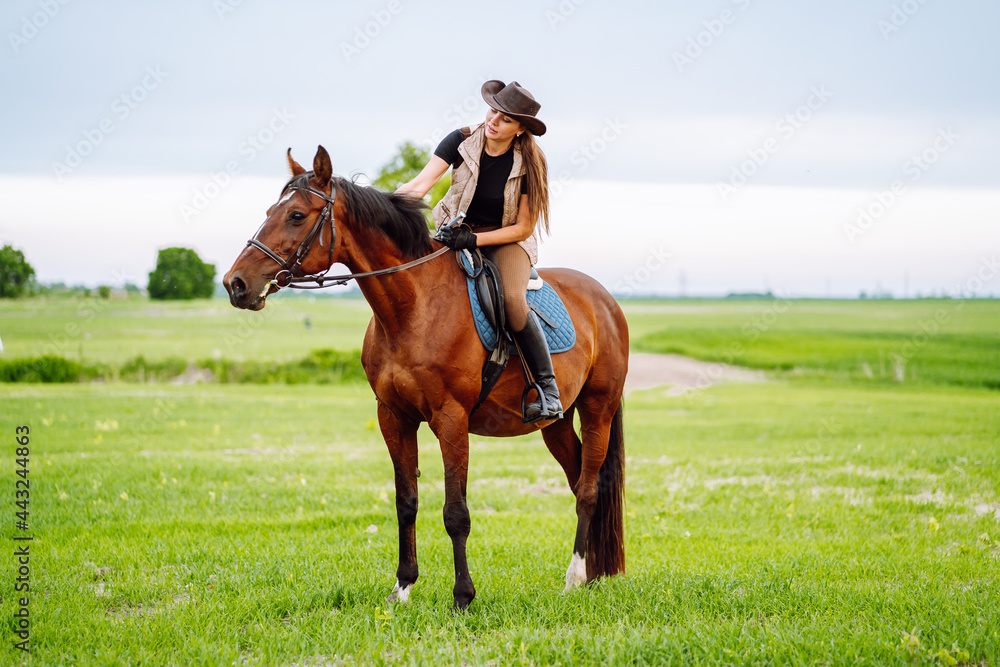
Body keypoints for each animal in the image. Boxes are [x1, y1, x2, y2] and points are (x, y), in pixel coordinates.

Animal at [226, 146, 628, 612]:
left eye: (295, 215)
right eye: (270, 211)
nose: (235, 283)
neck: (412, 307)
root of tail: (605, 301)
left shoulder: (451, 419)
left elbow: (456, 512)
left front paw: (462, 597)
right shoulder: (394, 417)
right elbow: (406, 502)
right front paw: (402, 587)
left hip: (597, 409)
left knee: (589, 489)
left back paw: (575, 576)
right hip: (556, 424)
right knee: (579, 478)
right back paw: (592, 574)